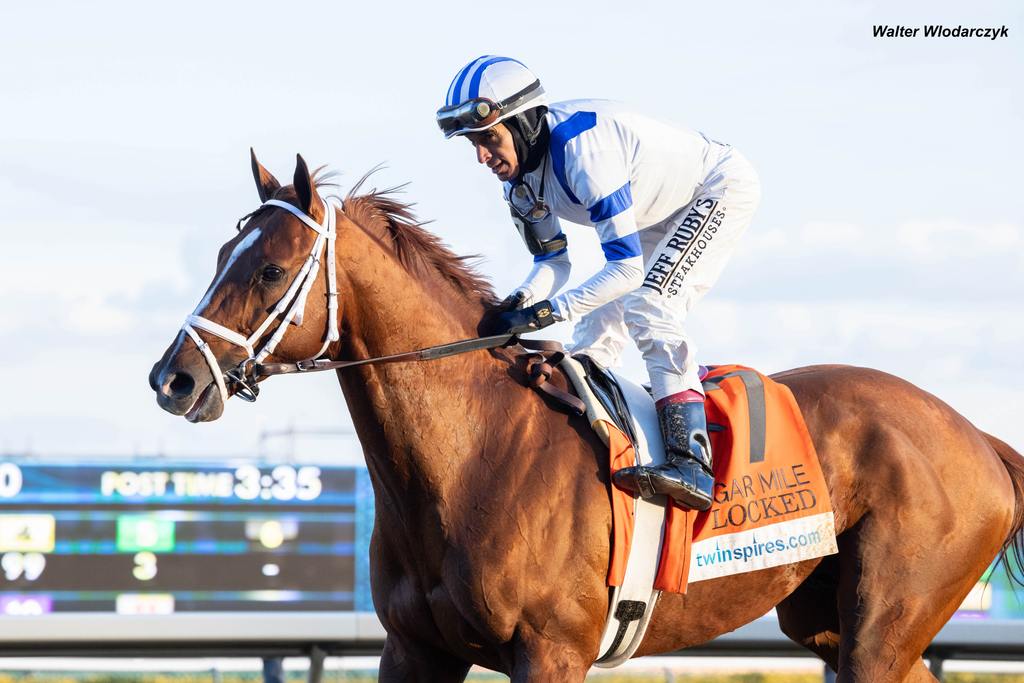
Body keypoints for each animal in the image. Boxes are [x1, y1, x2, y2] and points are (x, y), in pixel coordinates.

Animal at [148, 154, 1024, 683]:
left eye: (270, 269)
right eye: (219, 256)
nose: (173, 377)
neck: (471, 456)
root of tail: (978, 438)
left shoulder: (551, 651)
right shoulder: (413, 648)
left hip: (884, 622)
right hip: (831, 624)